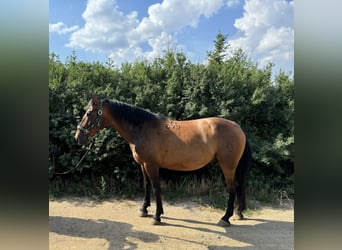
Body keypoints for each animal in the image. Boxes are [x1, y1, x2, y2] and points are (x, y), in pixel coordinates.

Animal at [75, 95, 251, 227]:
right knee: (237, 187)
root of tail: (238, 128)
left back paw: (225, 218)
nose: (78, 137)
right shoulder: (143, 165)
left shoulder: (152, 165)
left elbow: (156, 188)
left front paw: (157, 216)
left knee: (232, 188)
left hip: (227, 166)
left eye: (89, 113)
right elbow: (146, 186)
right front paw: (144, 210)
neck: (142, 129)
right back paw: (238, 213)